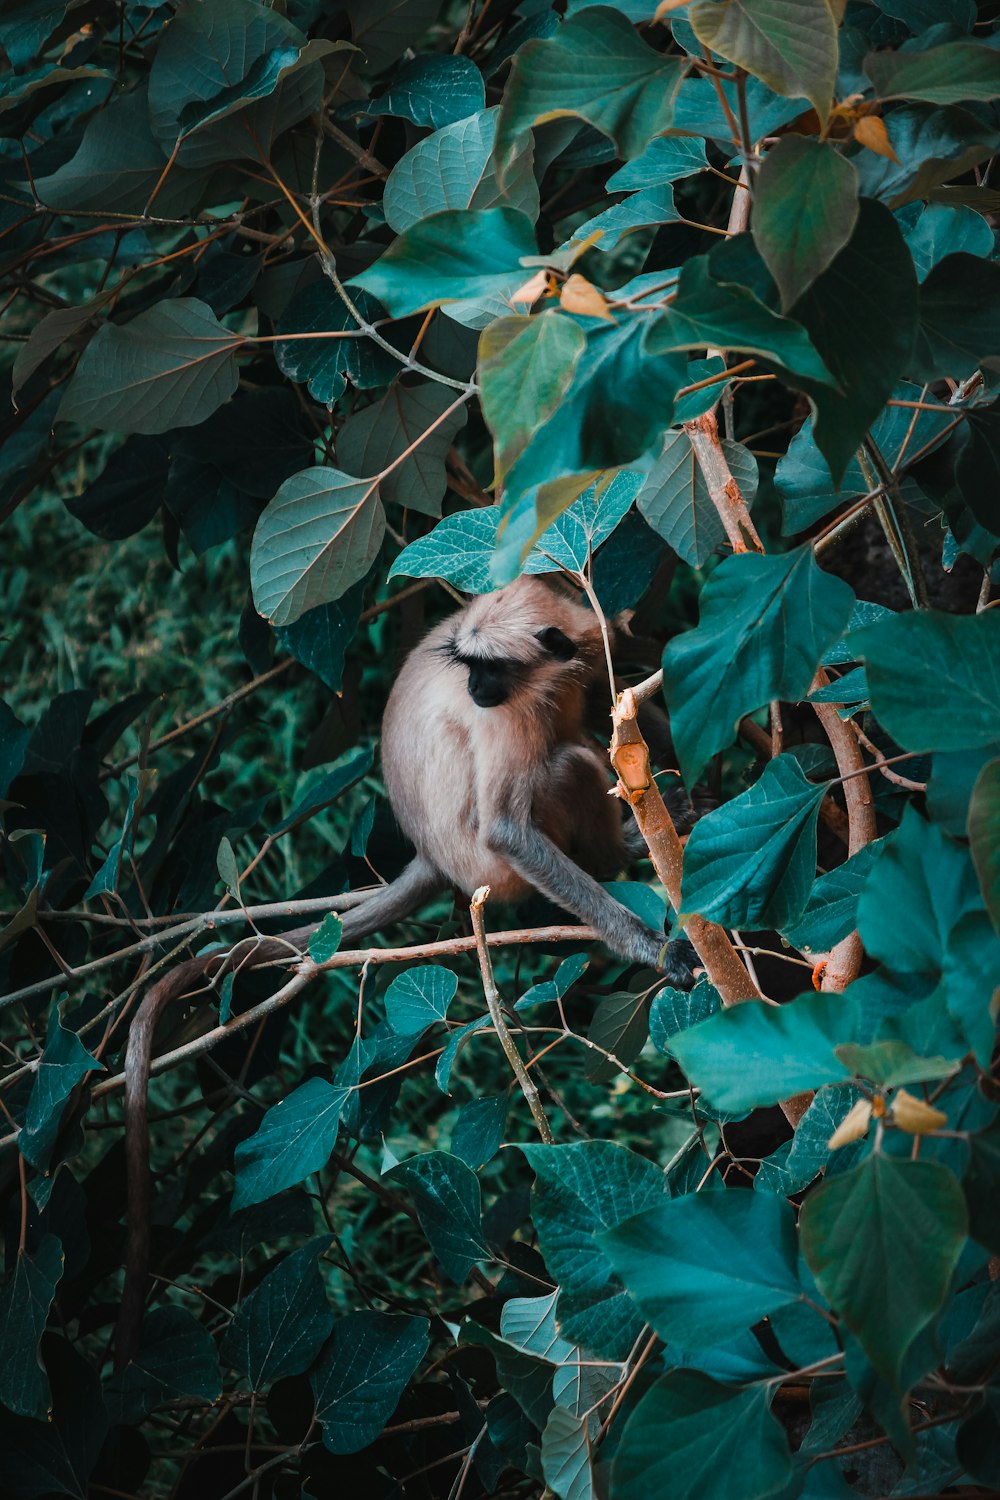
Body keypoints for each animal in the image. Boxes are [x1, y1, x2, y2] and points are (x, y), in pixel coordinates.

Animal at [117, 576, 692, 1374]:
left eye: (486, 668)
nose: (475, 691)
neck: (548, 673)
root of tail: (430, 853)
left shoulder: (581, 650)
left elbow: (622, 703)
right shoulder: (516, 716)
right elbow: (511, 825)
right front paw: (649, 947)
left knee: (581, 743)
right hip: (489, 870)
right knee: (566, 766)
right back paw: (622, 853)